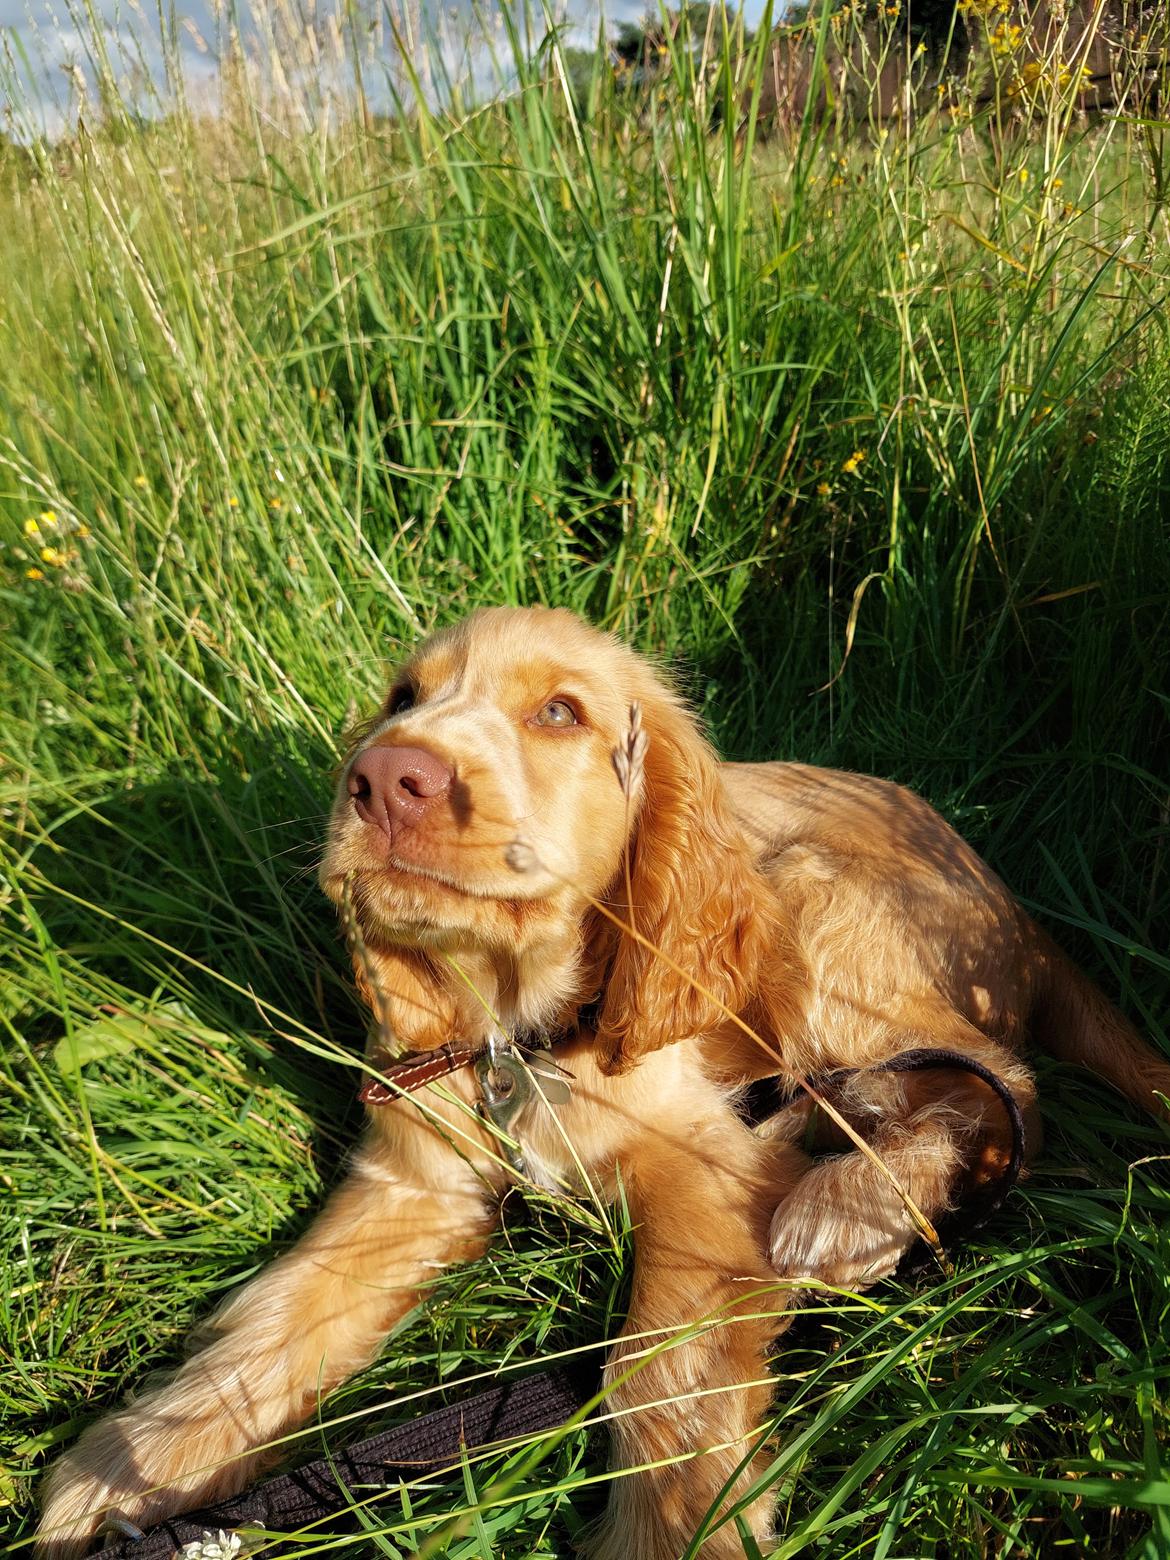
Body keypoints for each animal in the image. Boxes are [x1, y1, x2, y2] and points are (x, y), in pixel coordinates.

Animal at [36, 605, 1170, 1560]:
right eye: (403, 698)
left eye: (558, 712)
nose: (385, 777)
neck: (524, 1032)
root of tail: (1017, 911)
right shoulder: (418, 1184)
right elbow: (279, 1318)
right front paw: (133, 1469)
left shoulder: (708, 1184)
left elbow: (658, 1375)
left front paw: (671, 1536)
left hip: (824, 910)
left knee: (1004, 1086)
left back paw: (851, 1205)